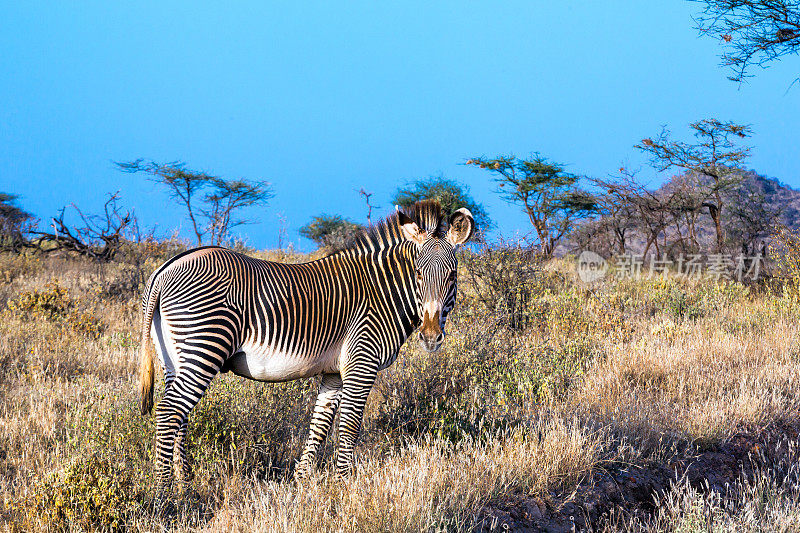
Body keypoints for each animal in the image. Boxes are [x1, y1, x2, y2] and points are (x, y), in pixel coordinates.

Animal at [138, 200, 476, 498]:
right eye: (418, 274)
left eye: (452, 276)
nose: (430, 336)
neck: (383, 293)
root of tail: (166, 269)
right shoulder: (362, 363)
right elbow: (349, 427)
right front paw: (343, 488)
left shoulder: (335, 372)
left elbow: (320, 424)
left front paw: (301, 483)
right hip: (204, 345)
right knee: (169, 411)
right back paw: (164, 494)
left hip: (174, 356)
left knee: (178, 415)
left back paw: (184, 485)